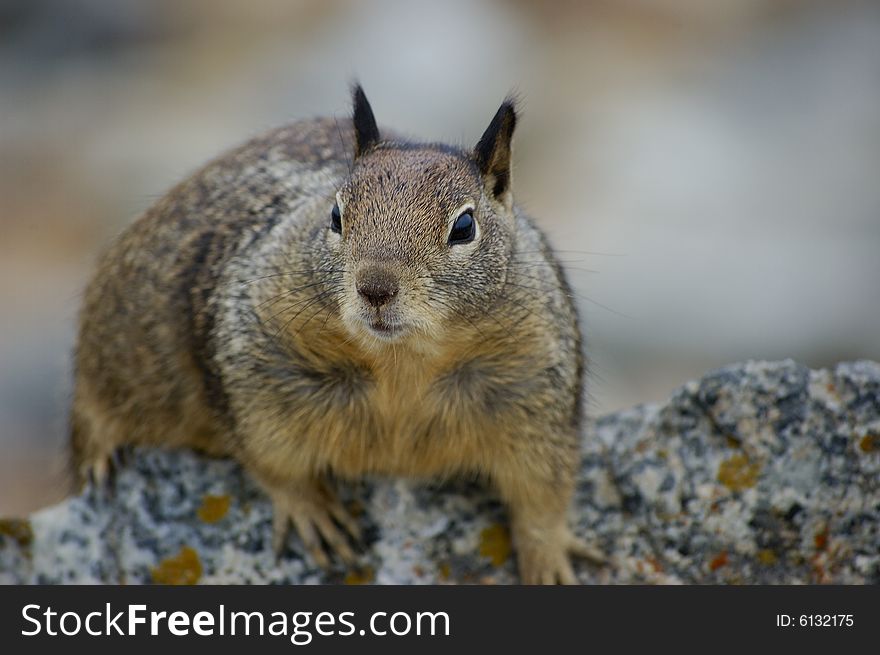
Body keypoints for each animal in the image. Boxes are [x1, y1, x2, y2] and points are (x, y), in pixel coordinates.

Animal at [70, 83, 604, 584]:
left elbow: (543, 492)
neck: (401, 362)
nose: (375, 288)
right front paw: (314, 513)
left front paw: (549, 560)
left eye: (464, 226)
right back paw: (102, 459)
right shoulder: (252, 367)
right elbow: (272, 458)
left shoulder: (537, 388)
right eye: (335, 216)